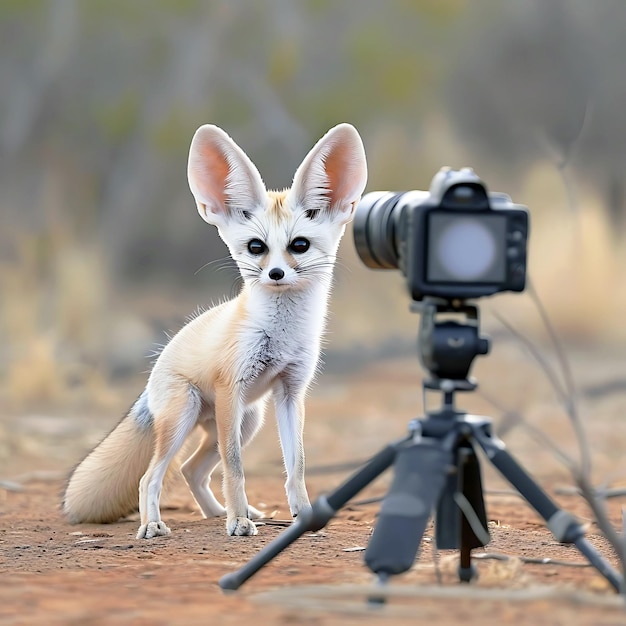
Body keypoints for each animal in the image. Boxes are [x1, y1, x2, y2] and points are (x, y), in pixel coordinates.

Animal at [62, 122, 366, 536]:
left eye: (299, 245)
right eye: (256, 247)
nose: (275, 274)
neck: (281, 336)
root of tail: (153, 375)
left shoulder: (291, 392)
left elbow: (297, 467)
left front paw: (302, 516)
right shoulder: (230, 389)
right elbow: (235, 469)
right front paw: (238, 523)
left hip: (248, 420)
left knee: (191, 471)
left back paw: (218, 513)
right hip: (190, 417)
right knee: (151, 477)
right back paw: (157, 525)